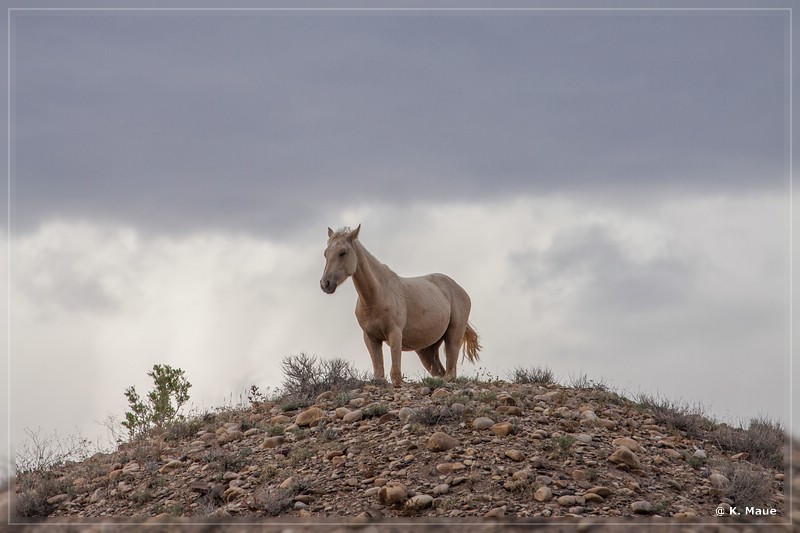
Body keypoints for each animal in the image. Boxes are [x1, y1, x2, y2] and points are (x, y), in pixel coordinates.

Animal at [318, 222, 482, 384]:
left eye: (343, 252)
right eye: (326, 254)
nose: (325, 284)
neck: (376, 297)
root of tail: (459, 289)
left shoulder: (395, 334)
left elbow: (395, 375)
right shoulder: (371, 338)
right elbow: (379, 373)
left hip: (453, 336)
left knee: (450, 373)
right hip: (427, 350)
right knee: (440, 372)